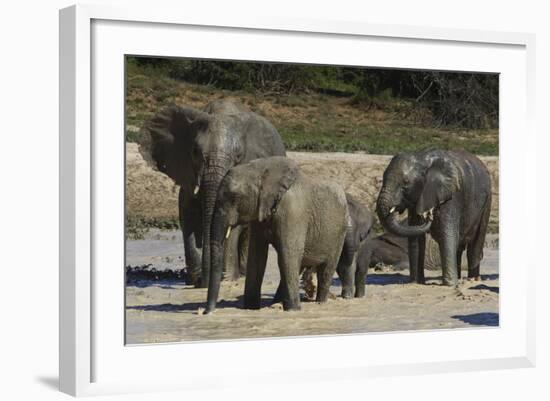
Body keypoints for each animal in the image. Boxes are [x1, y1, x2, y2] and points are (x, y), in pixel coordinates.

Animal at [138, 100, 286, 288]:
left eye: (238, 156)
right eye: (194, 151)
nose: (204, 282)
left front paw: (226, 279)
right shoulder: (187, 174)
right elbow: (188, 218)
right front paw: (195, 280)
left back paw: (241, 273)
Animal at [205, 156, 352, 312]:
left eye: (234, 197)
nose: (207, 312)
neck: (260, 169)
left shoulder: (293, 212)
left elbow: (287, 255)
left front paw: (293, 310)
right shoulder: (260, 215)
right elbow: (257, 257)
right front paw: (251, 309)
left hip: (340, 233)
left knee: (326, 269)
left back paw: (319, 302)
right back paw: (276, 303)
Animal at [378, 148, 494, 286]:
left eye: (406, 183)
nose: (429, 214)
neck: (422, 157)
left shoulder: (452, 196)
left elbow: (447, 234)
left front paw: (450, 285)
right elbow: (416, 237)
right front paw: (416, 283)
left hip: (487, 201)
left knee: (475, 243)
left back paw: (472, 279)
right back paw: (460, 277)